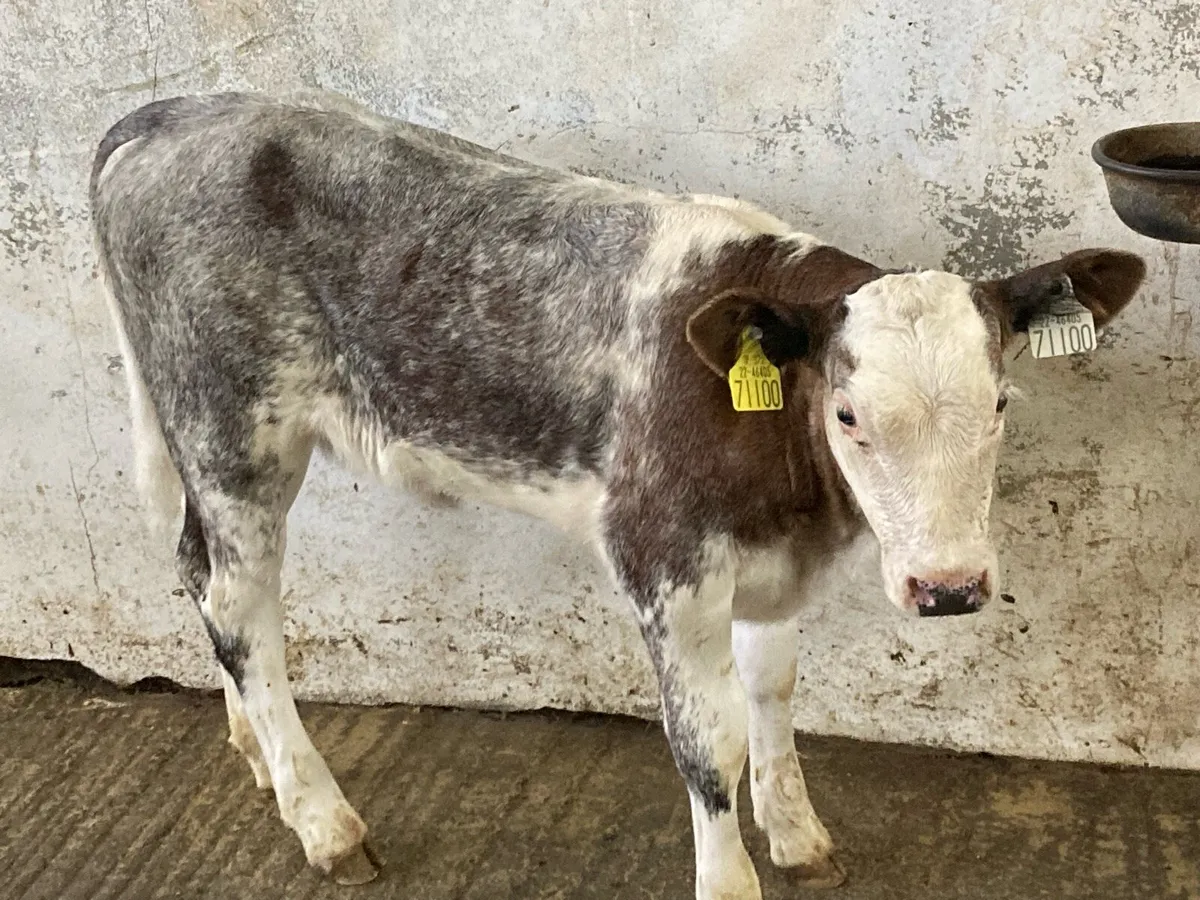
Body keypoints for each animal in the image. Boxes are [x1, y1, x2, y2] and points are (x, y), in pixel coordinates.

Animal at [89, 91, 1145, 899]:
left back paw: (256, 756)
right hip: (233, 431)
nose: (950, 587)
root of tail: (176, 111)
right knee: (240, 607)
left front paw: (800, 839)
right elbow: (710, 740)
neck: (788, 486)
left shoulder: (768, 566)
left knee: (196, 571)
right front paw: (732, 882)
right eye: (847, 415)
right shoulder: (663, 558)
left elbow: (773, 692)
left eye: (1001, 400)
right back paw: (323, 820)